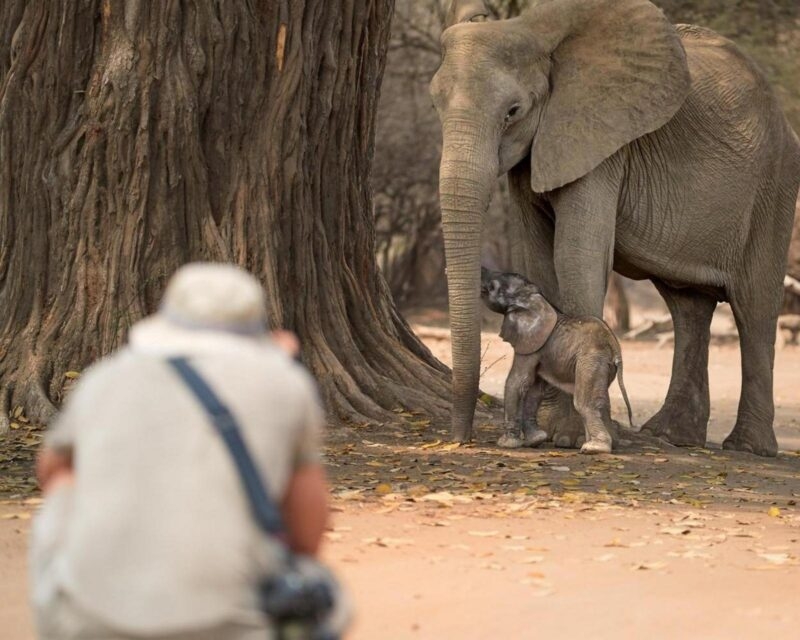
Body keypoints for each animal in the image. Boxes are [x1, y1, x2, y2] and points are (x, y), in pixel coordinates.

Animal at [481, 268, 634, 454]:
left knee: (584, 403)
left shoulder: (529, 344)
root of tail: (616, 348)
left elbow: (518, 382)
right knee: (601, 401)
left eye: (493, 286)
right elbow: (535, 388)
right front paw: (535, 440)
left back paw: (594, 448)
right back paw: (597, 444)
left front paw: (506, 444)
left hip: (592, 359)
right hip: (604, 364)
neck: (535, 298)